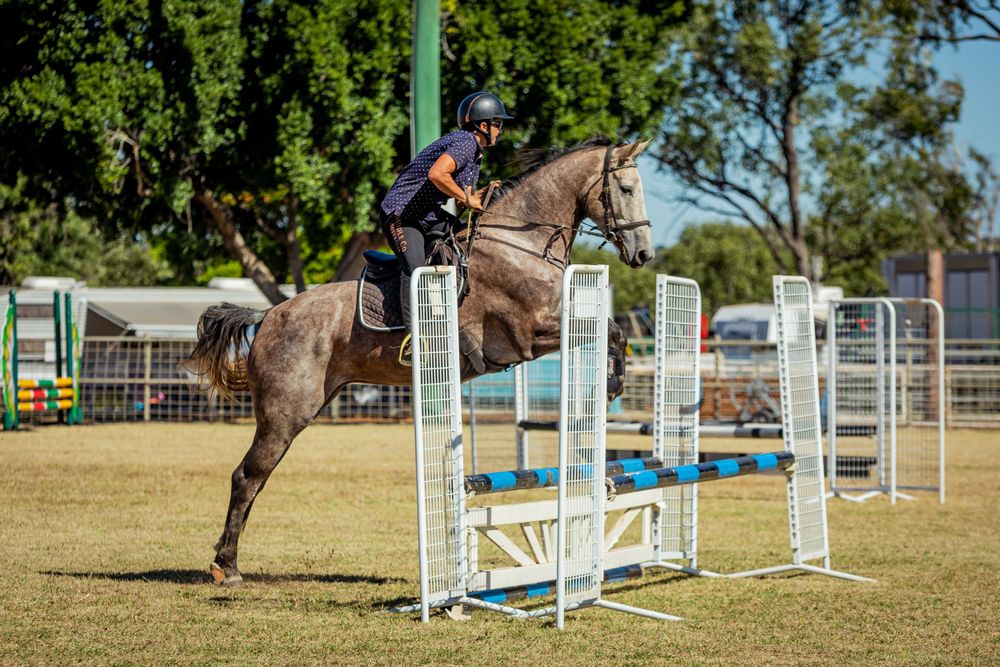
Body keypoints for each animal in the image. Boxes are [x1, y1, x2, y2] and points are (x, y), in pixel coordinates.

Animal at [184, 136, 655, 586]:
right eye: (626, 189)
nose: (644, 255)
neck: (522, 245)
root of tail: (268, 315)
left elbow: (614, 331)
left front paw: (609, 386)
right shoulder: (528, 335)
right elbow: (608, 331)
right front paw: (608, 388)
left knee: (257, 479)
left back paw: (225, 559)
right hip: (286, 413)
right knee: (247, 477)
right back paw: (228, 567)